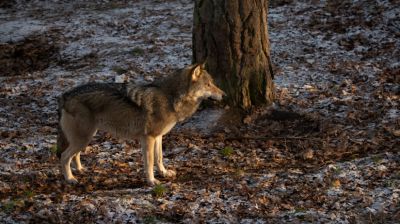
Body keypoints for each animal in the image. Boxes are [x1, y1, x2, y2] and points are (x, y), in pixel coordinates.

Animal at [56, 63, 225, 186]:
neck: (170, 98)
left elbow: (159, 158)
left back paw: (80, 170)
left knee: (75, 155)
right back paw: (70, 179)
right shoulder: (148, 138)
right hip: (84, 137)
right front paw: (152, 181)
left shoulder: (158, 136)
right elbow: (149, 163)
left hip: (87, 137)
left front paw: (164, 173)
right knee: (64, 157)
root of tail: (65, 95)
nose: (224, 95)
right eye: (208, 85)